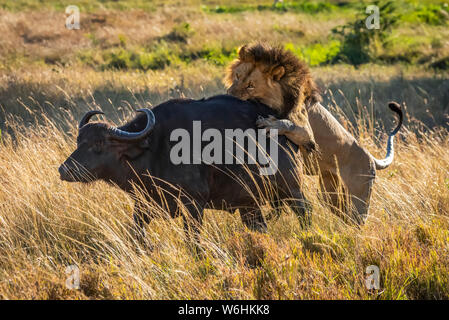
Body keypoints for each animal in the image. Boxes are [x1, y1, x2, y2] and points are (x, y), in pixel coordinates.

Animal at [58, 95, 308, 250]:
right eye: (79, 141)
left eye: (99, 144)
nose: (64, 169)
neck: (154, 148)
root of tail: (287, 134)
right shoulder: (143, 204)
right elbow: (136, 234)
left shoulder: (193, 204)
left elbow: (192, 241)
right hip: (250, 205)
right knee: (259, 228)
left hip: (292, 189)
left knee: (305, 212)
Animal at [224, 41, 402, 224]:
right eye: (237, 76)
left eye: (251, 85)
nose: (228, 95)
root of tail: (371, 157)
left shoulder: (307, 132)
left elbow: (289, 124)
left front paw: (270, 124)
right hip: (329, 194)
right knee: (343, 214)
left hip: (359, 196)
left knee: (358, 219)